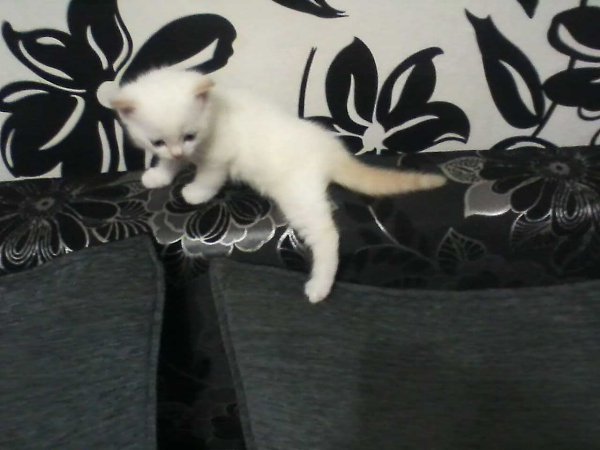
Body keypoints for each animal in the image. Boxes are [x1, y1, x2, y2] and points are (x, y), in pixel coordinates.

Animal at [111, 67, 446, 303]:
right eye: (157, 142)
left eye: (190, 135)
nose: (180, 151)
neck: (215, 112)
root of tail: (330, 149)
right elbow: (169, 163)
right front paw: (160, 173)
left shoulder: (219, 155)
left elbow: (208, 177)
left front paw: (194, 192)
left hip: (298, 195)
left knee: (327, 234)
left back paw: (320, 285)